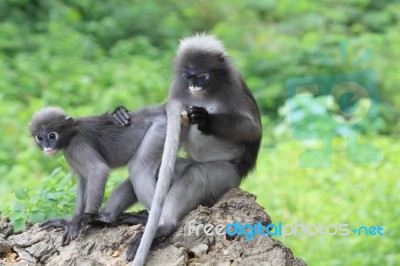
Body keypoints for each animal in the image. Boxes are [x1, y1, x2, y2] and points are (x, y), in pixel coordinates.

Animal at [111, 33, 262, 264]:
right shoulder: (179, 87)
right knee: (155, 172)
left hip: (226, 176)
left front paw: (205, 120)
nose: (194, 87)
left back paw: (163, 225)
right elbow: (166, 111)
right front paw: (119, 113)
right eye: (189, 77)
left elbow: (252, 129)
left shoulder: (233, 84)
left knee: (196, 174)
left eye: (202, 76)